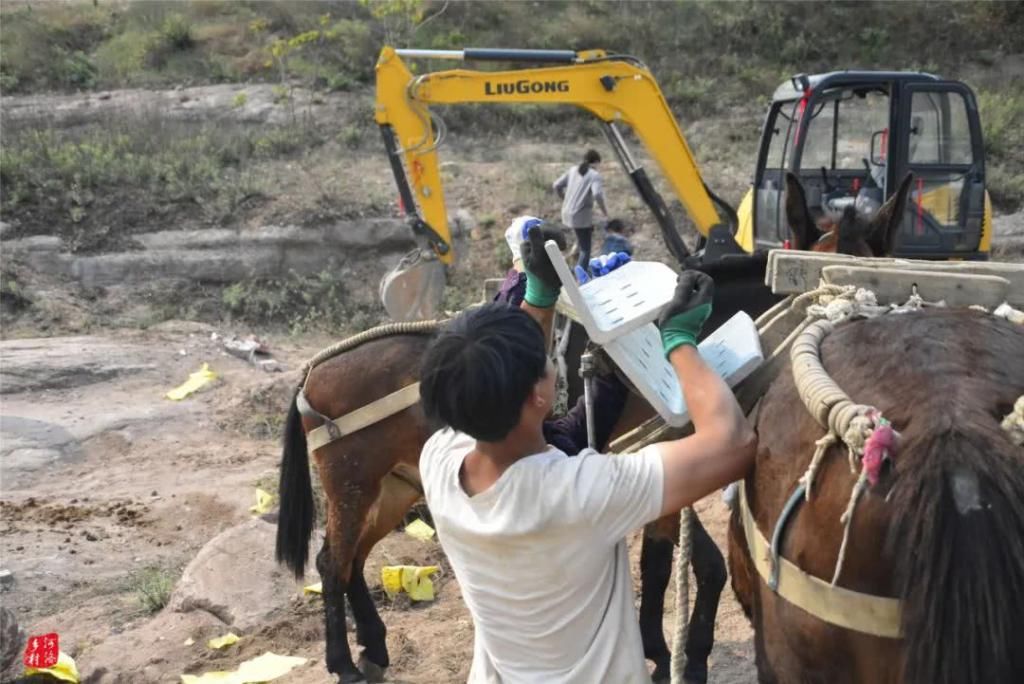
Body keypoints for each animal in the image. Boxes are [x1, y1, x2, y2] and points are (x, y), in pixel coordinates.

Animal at [276, 172, 917, 684]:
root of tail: (315, 369)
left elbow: (685, 567)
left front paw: (675, 650)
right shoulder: (659, 469)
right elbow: (675, 567)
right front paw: (673, 656)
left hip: (394, 485)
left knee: (348, 558)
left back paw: (374, 646)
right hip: (354, 481)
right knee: (332, 563)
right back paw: (343, 662)